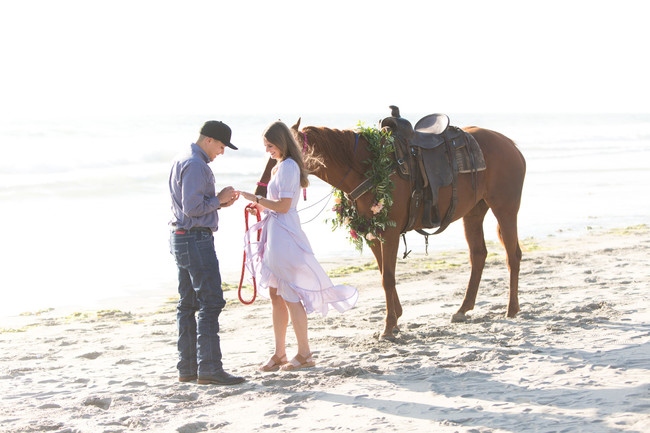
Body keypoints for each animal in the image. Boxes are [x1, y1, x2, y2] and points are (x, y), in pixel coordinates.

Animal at [251, 112, 524, 338]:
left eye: (280, 153)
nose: (260, 193)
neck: (366, 165)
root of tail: (511, 145)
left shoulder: (390, 233)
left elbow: (388, 278)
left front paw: (389, 325)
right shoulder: (372, 233)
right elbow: (385, 274)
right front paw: (396, 317)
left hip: (505, 209)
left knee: (513, 255)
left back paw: (512, 309)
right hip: (474, 213)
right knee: (478, 255)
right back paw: (463, 308)